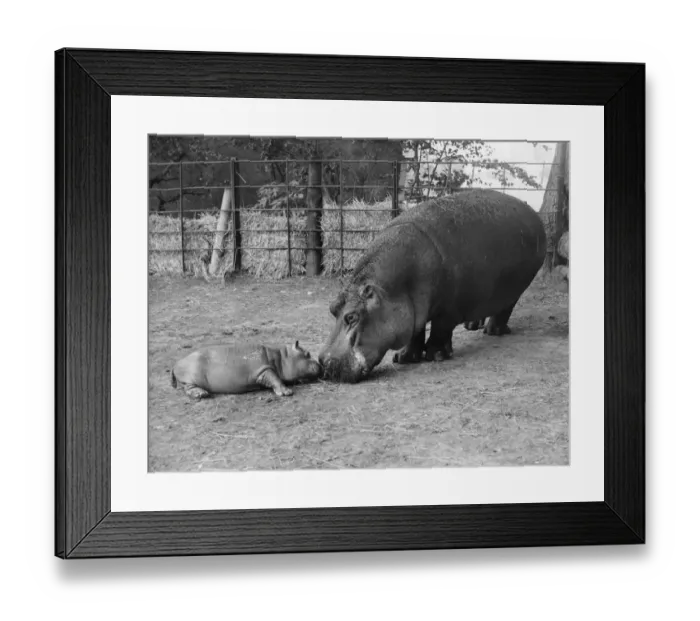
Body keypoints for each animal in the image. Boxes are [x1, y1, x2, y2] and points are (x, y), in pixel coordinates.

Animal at [171, 340, 322, 399]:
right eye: (307, 353)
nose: (320, 364)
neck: (281, 356)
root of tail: (176, 363)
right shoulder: (263, 370)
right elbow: (275, 378)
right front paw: (287, 392)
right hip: (190, 377)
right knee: (188, 387)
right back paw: (201, 394)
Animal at [319, 189, 547, 383]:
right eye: (332, 308)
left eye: (352, 317)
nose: (323, 363)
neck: (390, 290)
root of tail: (531, 211)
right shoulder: (414, 311)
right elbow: (416, 333)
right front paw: (404, 358)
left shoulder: (449, 309)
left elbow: (440, 329)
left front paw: (435, 355)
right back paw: (474, 325)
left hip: (516, 288)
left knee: (505, 309)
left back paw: (494, 331)